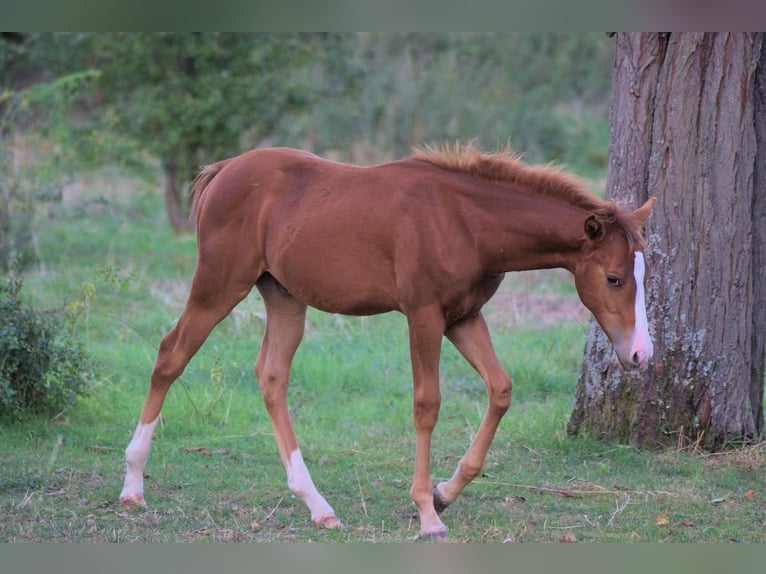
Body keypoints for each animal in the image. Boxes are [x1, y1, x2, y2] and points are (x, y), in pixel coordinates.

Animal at [119, 143, 655, 539]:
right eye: (612, 278)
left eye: (644, 273)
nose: (640, 354)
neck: (466, 221)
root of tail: (225, 168)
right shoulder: (424, 316)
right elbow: (427, 404)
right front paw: (428, 515)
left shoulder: (465, 317)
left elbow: (500, 389)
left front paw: (444, 492)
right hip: (220, 283)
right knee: (170, 355)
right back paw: (132, 485)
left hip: (285, 296)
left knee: (271, 377)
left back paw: (318, 505)